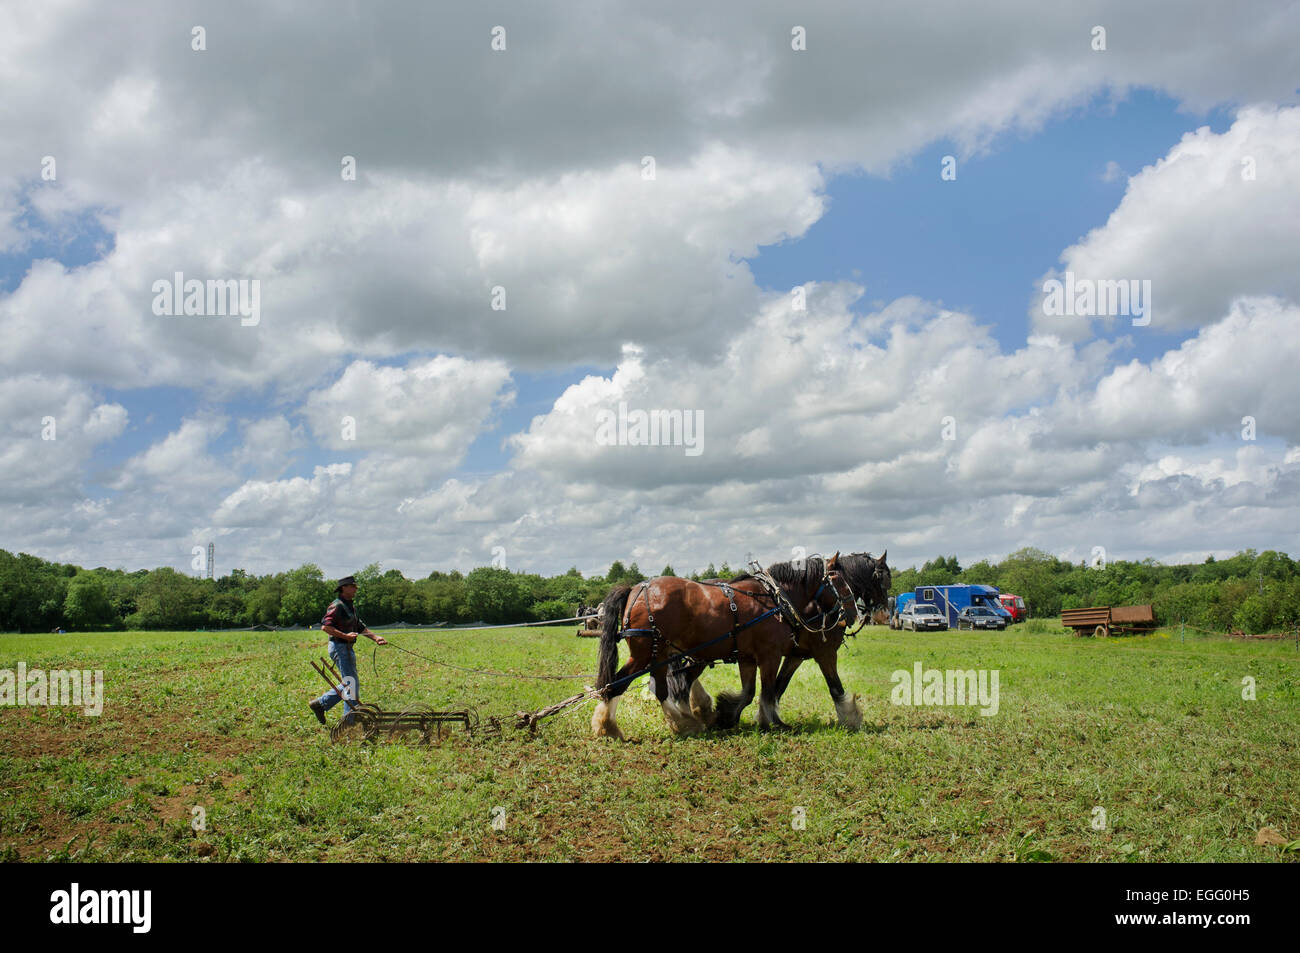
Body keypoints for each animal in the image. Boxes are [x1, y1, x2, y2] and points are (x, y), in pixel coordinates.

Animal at [592, 553, 860, 739]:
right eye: (839, 581)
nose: (854, 614)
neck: (775, 599)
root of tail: (635, 589)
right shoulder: (770, 655)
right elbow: (769, 691)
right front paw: (773, 723)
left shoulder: (748, 658)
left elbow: (751, 691)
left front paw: (728, 715)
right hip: (645, 653)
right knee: (620, 683)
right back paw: (611, 726)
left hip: (659, 653)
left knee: (659, 686)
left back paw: (682, 722)